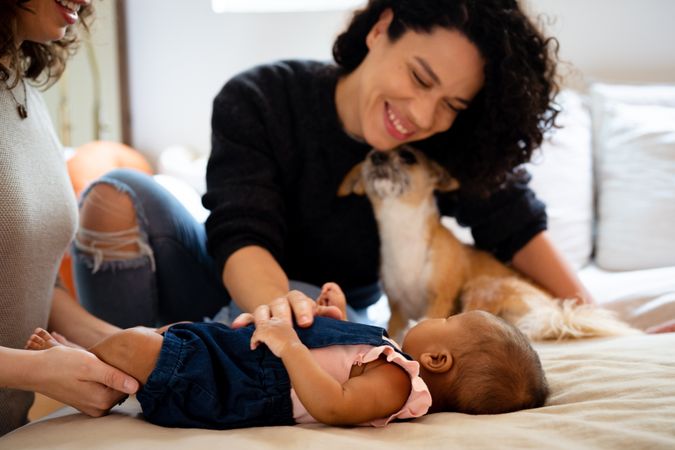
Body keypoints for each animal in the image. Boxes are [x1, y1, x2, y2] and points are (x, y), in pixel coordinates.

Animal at [338, 146, 640, 340]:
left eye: (408, 157)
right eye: (367, 157)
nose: (376, 156)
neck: (401, 227)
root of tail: (553, 311)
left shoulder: (441, 297)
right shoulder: (397, 309)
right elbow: (392, 327)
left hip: (482, 287)